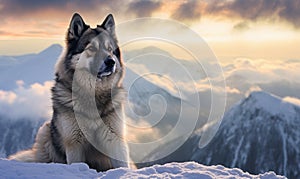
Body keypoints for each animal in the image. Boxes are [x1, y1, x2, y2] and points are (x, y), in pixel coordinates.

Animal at [8, 12, 132, 172]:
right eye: (92, 48)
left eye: (110, 49)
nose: (111, 62)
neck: (93, 94)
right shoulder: (74, 143)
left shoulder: (115, 139)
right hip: (45, 131)